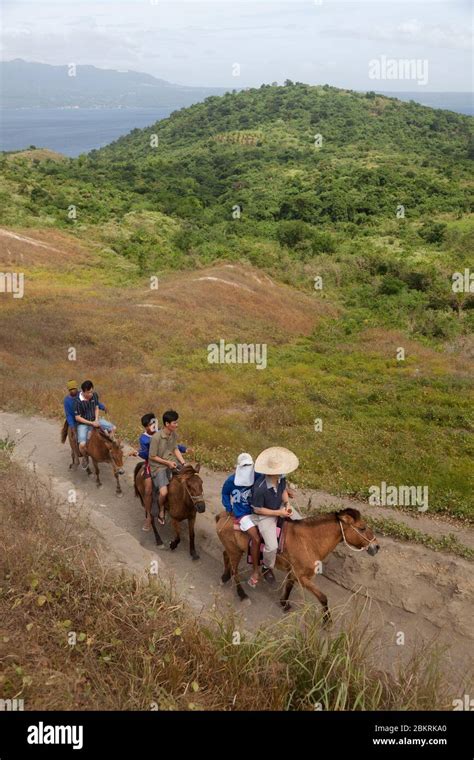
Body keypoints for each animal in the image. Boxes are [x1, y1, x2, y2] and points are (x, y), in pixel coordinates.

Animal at [217, 504, 380, 616]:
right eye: (362, 528)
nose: (376, 546)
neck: (310, 540)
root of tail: (222, 516)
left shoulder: (293, 572)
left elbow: (289, 587)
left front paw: (284, 604)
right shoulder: (302, 577)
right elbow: (323, 597)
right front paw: (327, 621)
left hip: (234, 550)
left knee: (225, 555)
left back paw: (224, 577)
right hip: (235, 551)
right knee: (235, 571)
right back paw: (242, 594)